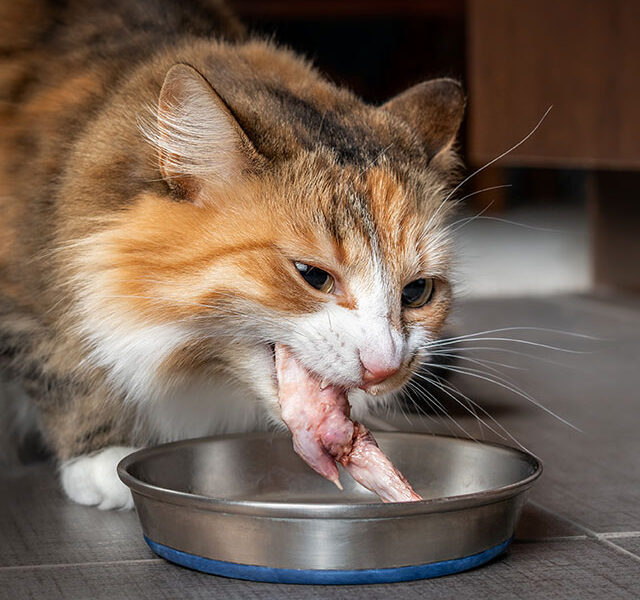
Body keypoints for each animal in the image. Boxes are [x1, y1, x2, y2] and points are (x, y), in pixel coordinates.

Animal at [0, 0, 462, 508]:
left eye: (416, 292)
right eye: (312, 275)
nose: (385, 368)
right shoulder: (24, 292)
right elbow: (61, 363)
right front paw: (101, 457)